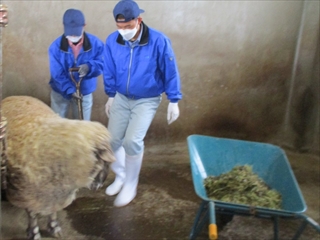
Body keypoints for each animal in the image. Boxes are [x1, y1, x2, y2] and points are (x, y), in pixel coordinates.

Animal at [1, 95, 115, 240]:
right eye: (104, 161)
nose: (98, 185)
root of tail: (14, 96)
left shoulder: (55, 192)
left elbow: (53, 211)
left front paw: (54, 227)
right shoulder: (28, 193)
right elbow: (32, 215)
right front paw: (34, 232)